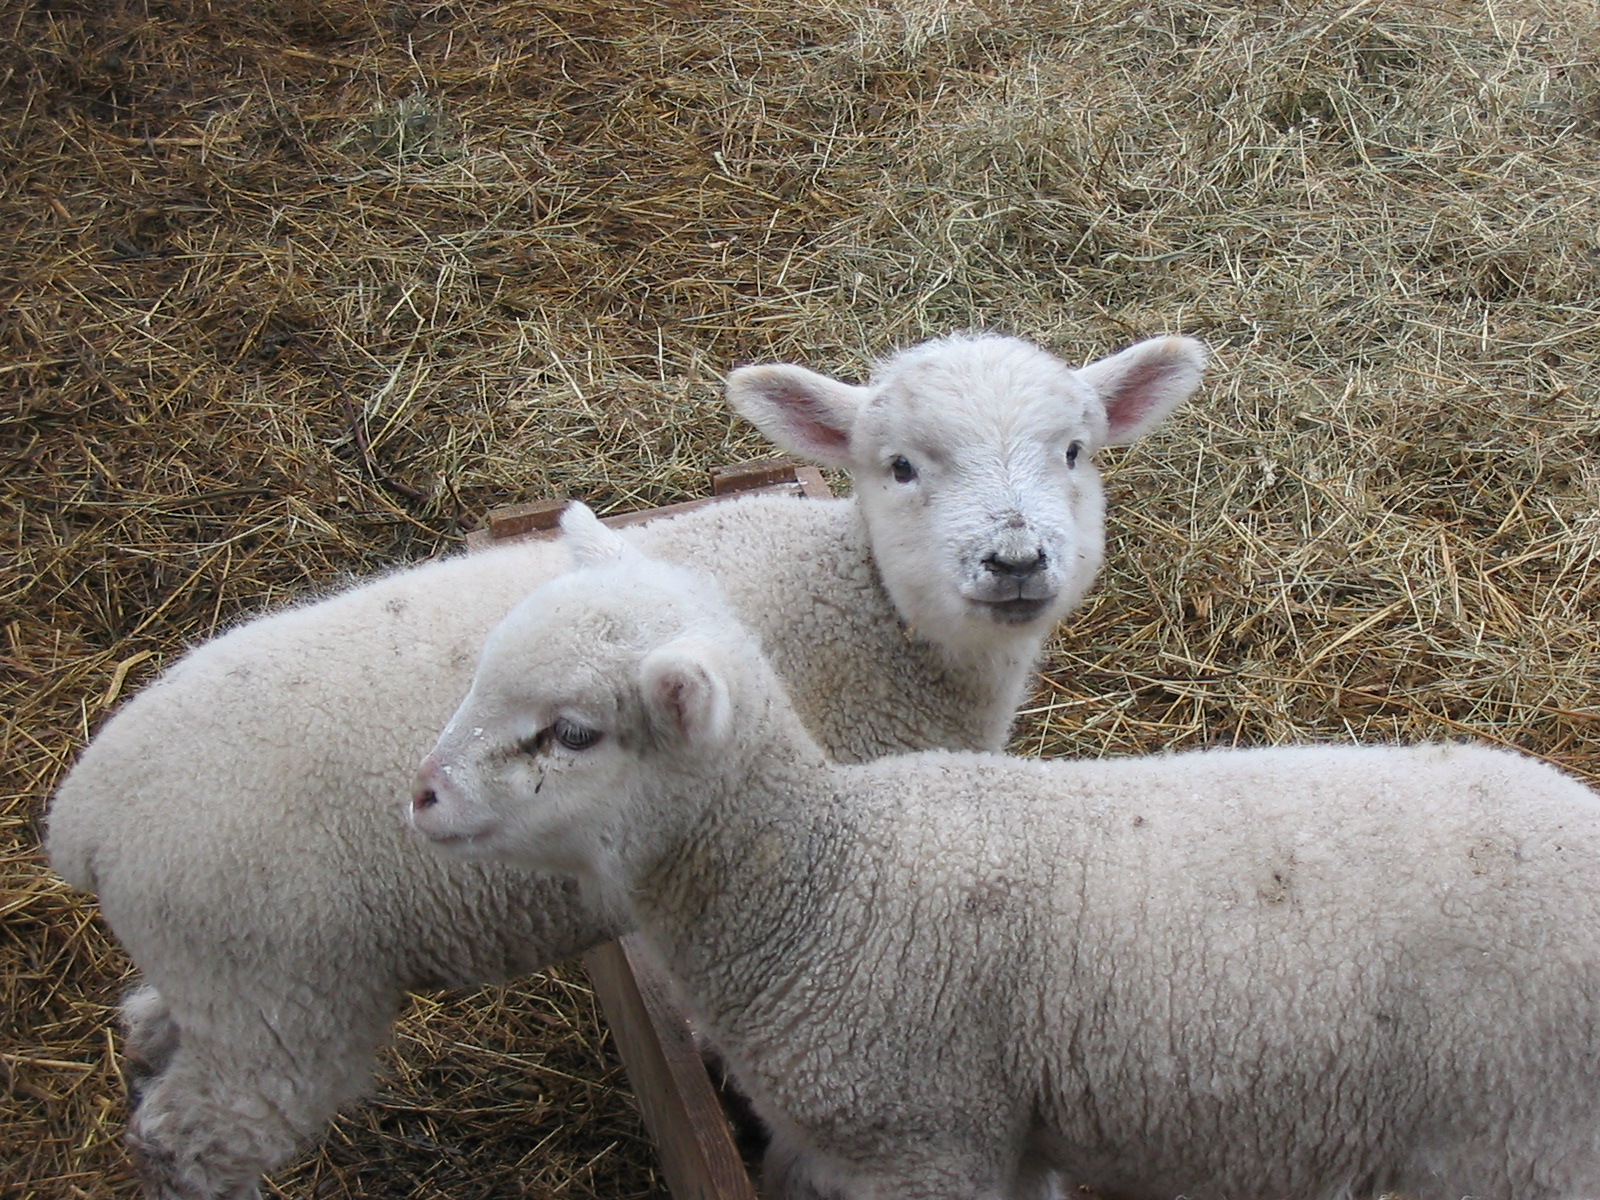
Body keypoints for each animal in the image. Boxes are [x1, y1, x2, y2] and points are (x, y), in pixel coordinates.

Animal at [44, 332, 1207, 1200]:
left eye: (1075, 452)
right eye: (901, 466)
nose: (1014, 562)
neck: (869, 609)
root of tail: (81, 817)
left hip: (231, 975)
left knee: (153, 1036)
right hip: (277, 993)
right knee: (191, 1141)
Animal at [415, 507, 1600, 1200]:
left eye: (572, 734)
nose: (419, 795)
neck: (823, 885)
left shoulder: (924, 1142)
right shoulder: (1002, 1140)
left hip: (1516, 1144)